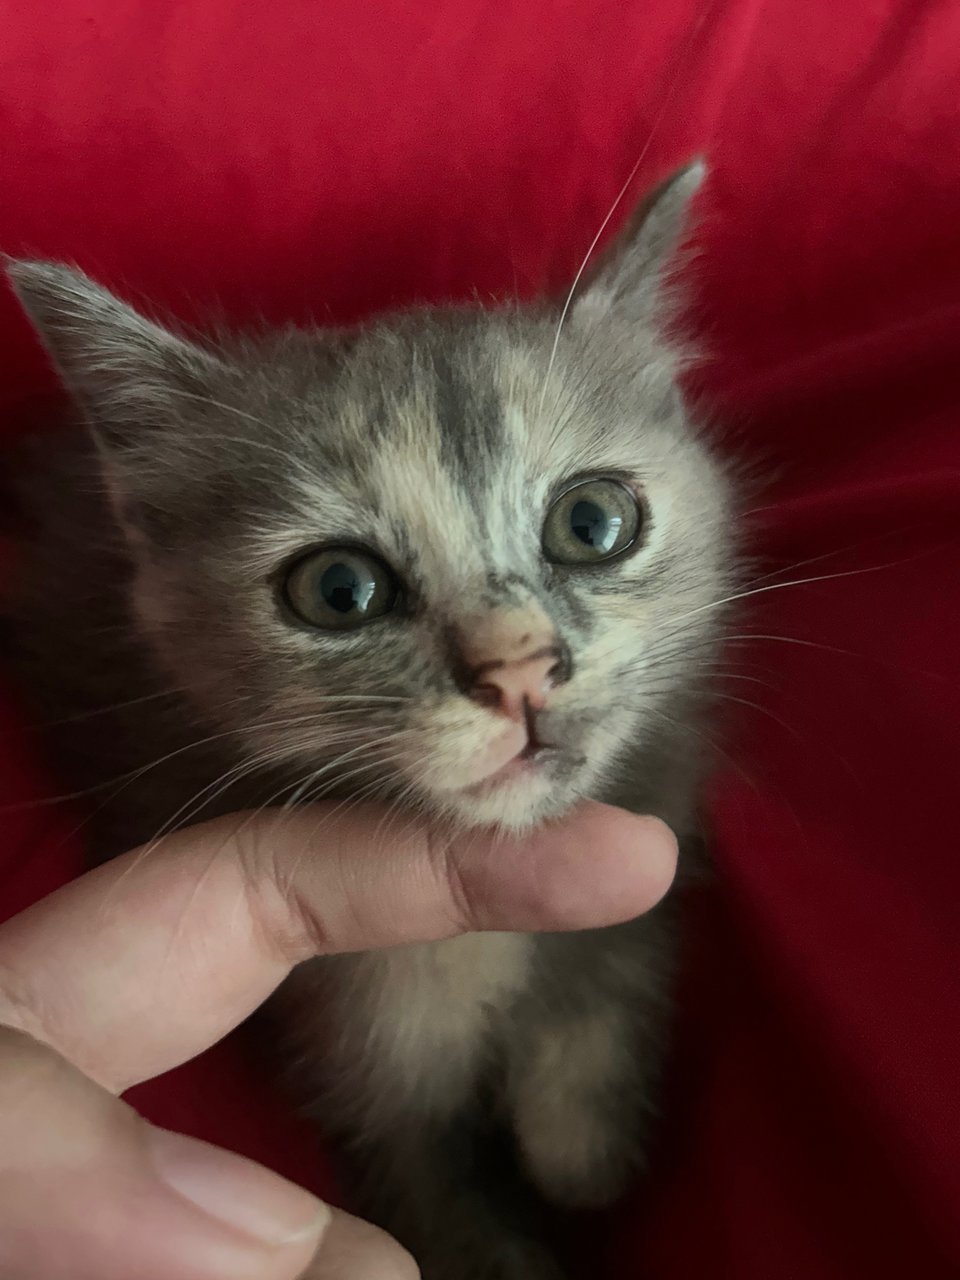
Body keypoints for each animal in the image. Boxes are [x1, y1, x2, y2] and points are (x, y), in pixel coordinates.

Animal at [1, 162, 737, 1280]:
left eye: (592, 521)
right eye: (339, 589)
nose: (519, 667)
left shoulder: (654, 830)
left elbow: (617, 970)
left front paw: (581, 1134)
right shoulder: (353, 1051)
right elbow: (435, 1204)